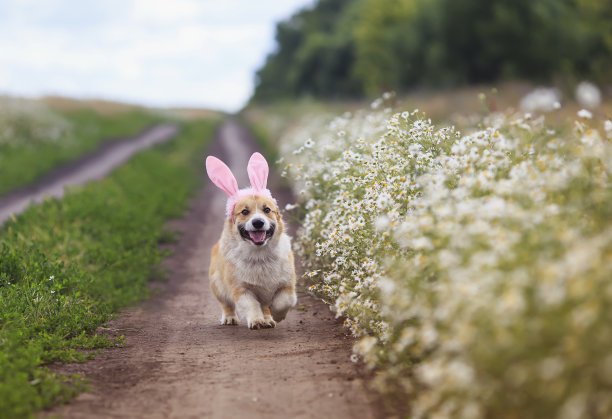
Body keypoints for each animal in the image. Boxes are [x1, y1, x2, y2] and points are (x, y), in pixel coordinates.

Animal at [207, 153, 298, 330]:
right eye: (244, 212)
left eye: (267, 210)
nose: (258, 222)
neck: (260, 254)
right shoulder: (241, 289)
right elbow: (251, 305)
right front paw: (256, 321)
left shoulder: (287, 285)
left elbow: (283, 302)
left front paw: (276, 315)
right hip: (218, 287)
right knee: (227, 305)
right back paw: (230, 318)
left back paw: (269, 319)